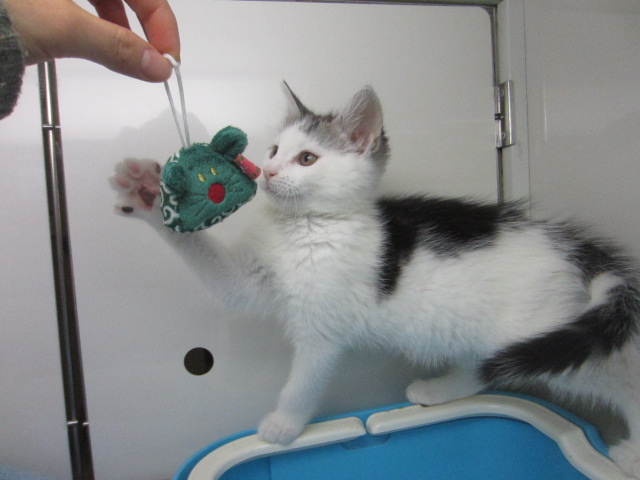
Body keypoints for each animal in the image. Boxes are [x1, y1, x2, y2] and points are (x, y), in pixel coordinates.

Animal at [111, 84, 640, 478]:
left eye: (307, 159)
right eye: (275, 149)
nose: (267, 171)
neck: (306, 227)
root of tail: (574, 247)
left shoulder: (322, 330)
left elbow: (305, 380)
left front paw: (283, 425)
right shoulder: (249, 281)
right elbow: (217, 271)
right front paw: (146, 196)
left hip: (547, 337)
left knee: (616, 373)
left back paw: (630, 452)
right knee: (484, 366)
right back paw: (440, 390)